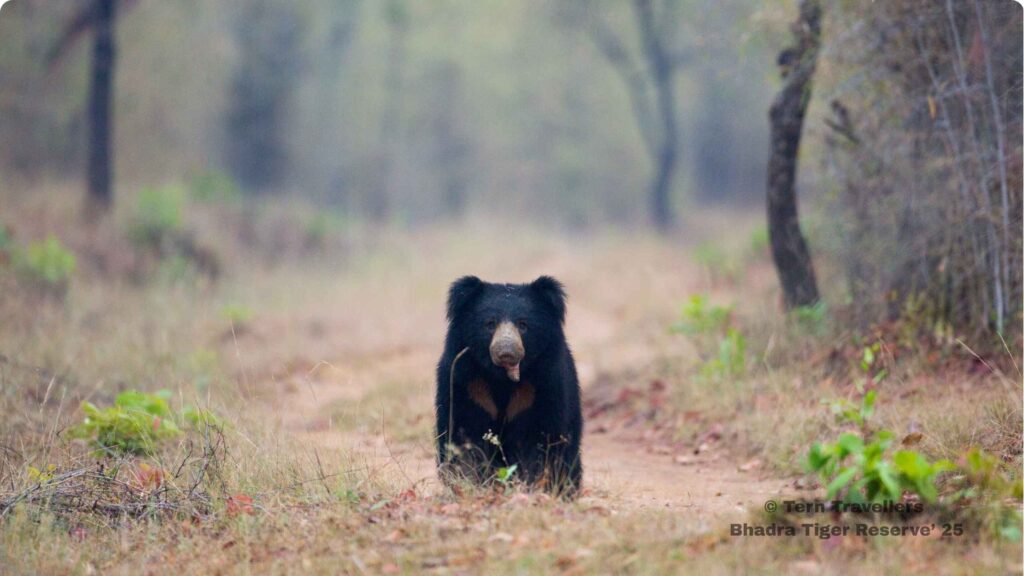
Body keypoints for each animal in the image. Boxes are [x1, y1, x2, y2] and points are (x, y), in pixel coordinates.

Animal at [435, 275, 583, 497]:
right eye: (490, 324)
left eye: (523, 325)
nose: (506, 351)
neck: (501, 378)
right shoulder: (465, 381)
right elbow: (463, 432)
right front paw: (469, 483)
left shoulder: (544, 382)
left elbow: (538, 438)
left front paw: (530, 486)